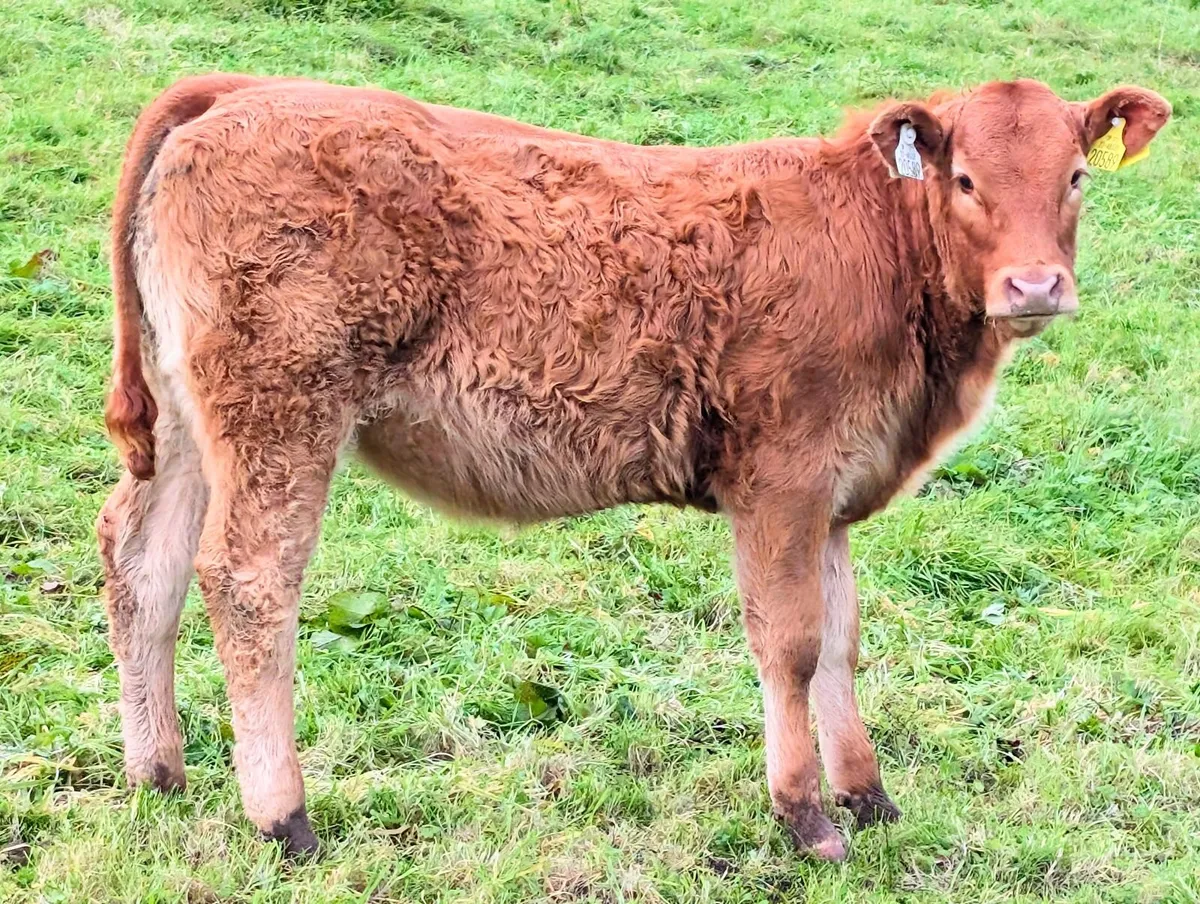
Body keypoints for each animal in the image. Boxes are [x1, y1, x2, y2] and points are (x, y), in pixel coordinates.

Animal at [96, 73, 1170, 860]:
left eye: (1078, 175)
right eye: (965, 180)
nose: (1035, 284)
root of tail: (240, 92)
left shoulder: (832, 493)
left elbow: (842, 639)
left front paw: (868, 797)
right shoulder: (779, 475)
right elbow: (791, 643)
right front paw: (805, 817)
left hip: (189, 426)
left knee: (142, 564)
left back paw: (160, 775)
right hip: (283, 411)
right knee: (248, 582)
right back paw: (284, 819)